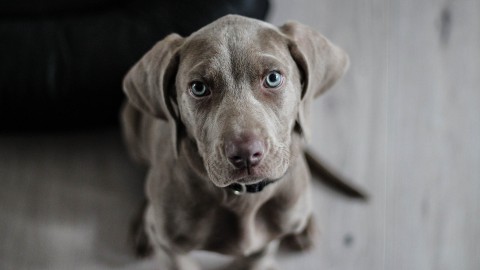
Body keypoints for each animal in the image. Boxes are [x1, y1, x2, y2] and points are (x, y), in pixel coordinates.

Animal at [122, 14, 348, 270]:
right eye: (198, 88)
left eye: (273, 78)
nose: (246, 154)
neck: (244, 198)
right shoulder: (171, 248)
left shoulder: (266, 243)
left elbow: (256, 259)